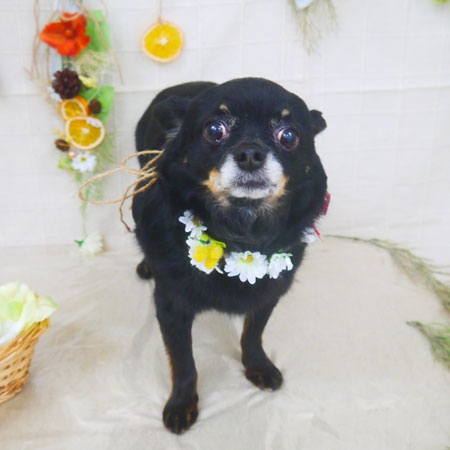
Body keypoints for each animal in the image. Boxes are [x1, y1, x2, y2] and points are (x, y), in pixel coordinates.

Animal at [132, 78, 328, 434]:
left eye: (289, 136)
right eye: (214, 130)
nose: (250, 153)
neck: (241, 229)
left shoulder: (267, 294)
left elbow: (253, 334)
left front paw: (257, 365)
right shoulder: (171, 307)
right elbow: (184, 361)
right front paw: (183, 403)